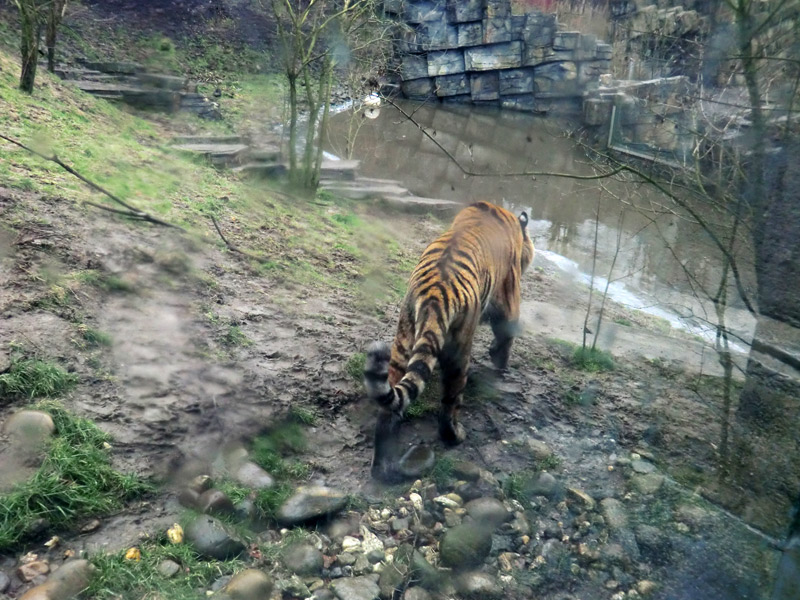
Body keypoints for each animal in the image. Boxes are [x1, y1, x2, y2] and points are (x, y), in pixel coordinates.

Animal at [366, 204, 536, 480]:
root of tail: (435, 293)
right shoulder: (509, 301)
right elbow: (506, 337)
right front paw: (500, 364)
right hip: (459, 352)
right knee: (449, 405)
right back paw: (455, 436)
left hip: (402, 342)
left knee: (388, 410)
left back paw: (383, 468)